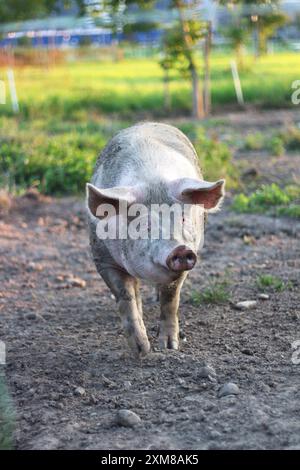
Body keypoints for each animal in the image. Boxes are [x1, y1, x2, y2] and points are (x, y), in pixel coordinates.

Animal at [85, 123, 224, 354]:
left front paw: (169, 347)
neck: (152, 180)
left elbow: (171, 299)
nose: (181, 249)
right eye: (145, 225)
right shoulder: (102, 259)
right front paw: (141, 350)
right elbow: (125, 297)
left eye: (183, 218)